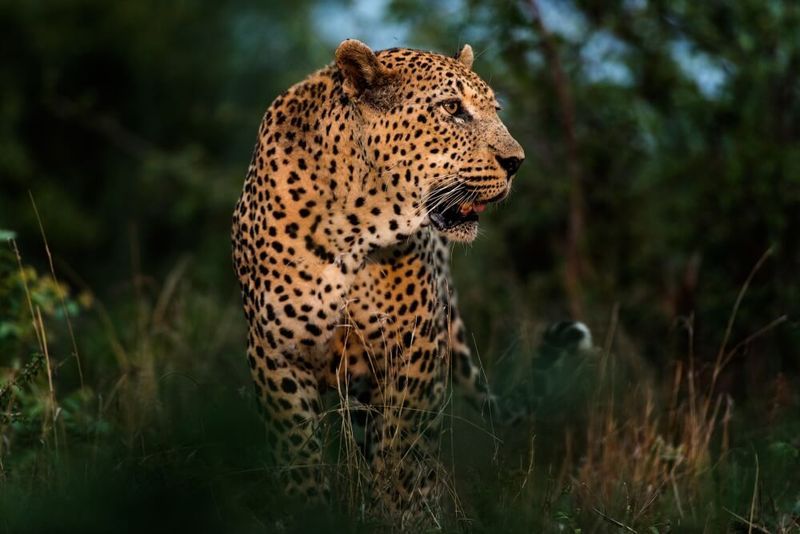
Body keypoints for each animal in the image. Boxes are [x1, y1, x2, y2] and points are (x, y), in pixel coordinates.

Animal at [231, 36, 580, 528]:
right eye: (452, 109)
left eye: (494, 109)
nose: (516, 162)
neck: (355, 226)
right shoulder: (276, 354)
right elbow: (299, 455)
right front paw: (307, 512)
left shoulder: (414, 354)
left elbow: (400, 456)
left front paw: (397, 515)